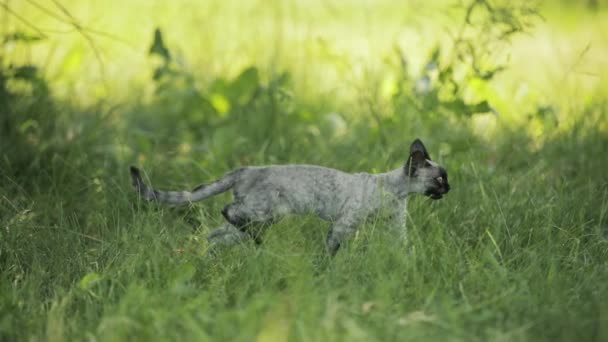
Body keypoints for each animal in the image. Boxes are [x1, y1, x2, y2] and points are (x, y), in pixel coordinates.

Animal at [131, 138, 448, 254]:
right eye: (440, 179)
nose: (449, 189)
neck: (395, 193)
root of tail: (246, 169)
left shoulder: (396, 226)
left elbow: (404, 248)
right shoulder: (344, 224)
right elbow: (331, 249)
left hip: (260, 219)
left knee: (216, 233)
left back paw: (215, 254)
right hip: (267, 211)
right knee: (228, 211)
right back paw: (257, 243)